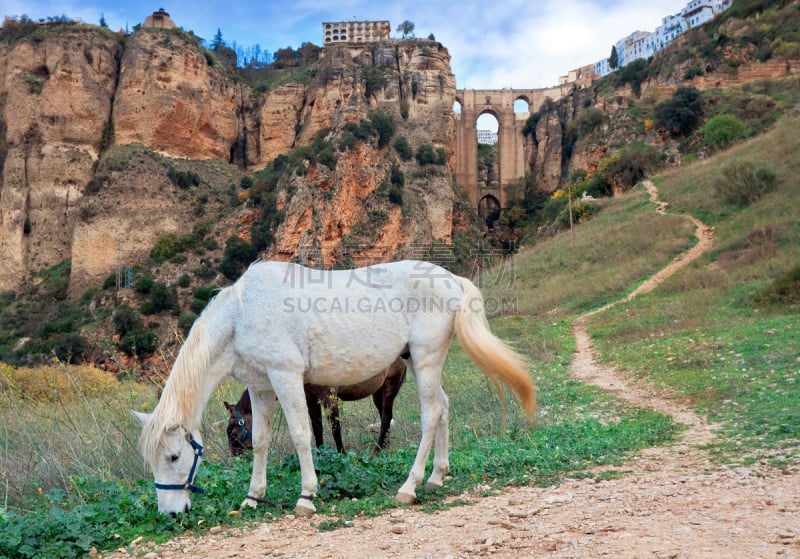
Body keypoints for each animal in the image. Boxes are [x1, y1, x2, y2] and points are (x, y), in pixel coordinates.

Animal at [225, 356, 406, 458]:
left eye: (232, 434)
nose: (234, 458)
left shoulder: (329, 398)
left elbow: (335, 428)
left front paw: (342, 454)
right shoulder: (311, 400)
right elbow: (317, 429)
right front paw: (321, 454)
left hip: (389, 387)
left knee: (385, 419)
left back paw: (378, 450)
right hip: (378, 393)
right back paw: (384, 448)